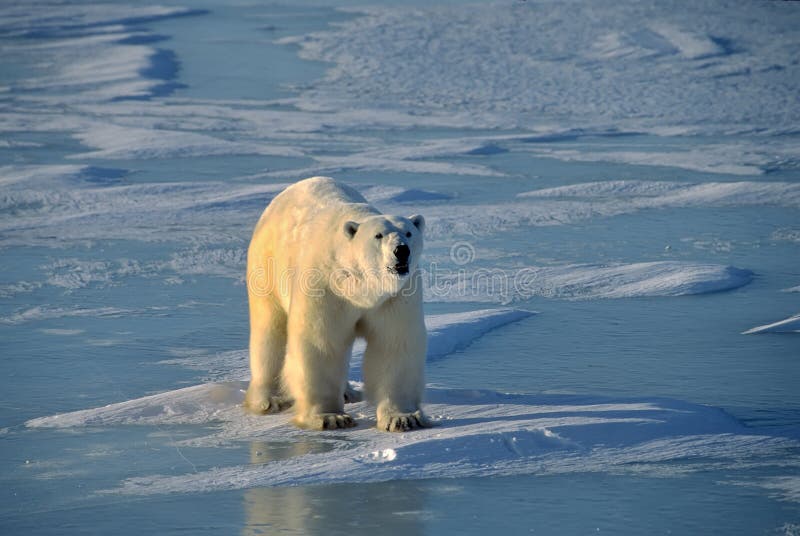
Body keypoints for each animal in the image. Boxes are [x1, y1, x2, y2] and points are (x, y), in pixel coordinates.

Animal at [244, 176, 432, 432]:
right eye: (379, 235)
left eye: (409, 232)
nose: (401, 250)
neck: (360, 289)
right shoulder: (325, 286)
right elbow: (321, 343)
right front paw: (330, 417)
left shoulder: (395, 296)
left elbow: (394, 343)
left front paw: (403, 417)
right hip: (267, 266)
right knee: (270, 331)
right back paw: (269, 399)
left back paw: (348, 392)